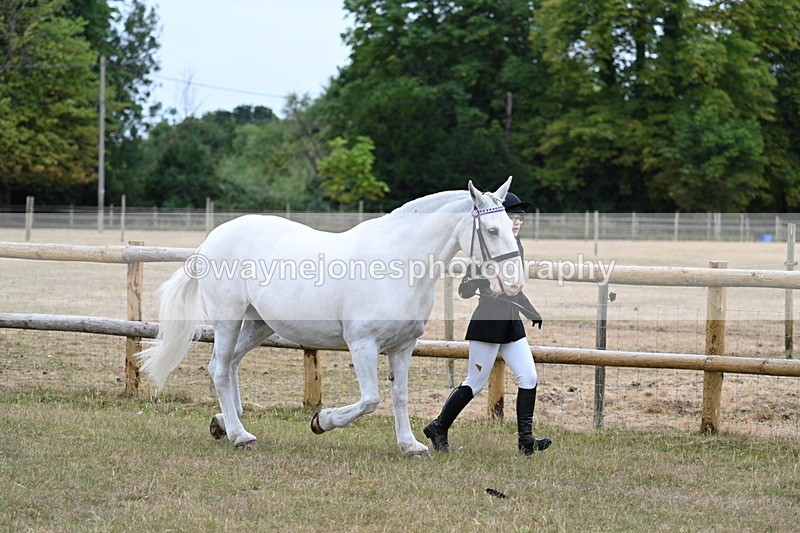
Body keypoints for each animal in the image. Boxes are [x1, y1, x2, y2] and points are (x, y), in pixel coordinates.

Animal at [138, 178, 525, 456]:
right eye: (492, 230)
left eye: (510, 226)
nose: (514, 282)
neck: (398, 262)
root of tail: (211, 240)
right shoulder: (362, 344)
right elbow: (370, 399)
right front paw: (321, 420)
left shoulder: (403, 347)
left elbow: (399, 396)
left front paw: (410, 445)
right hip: (228, 318)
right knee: (219, 368)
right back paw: (239, 435)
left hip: (258, 324)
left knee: (230, 364)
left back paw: (225, 422)